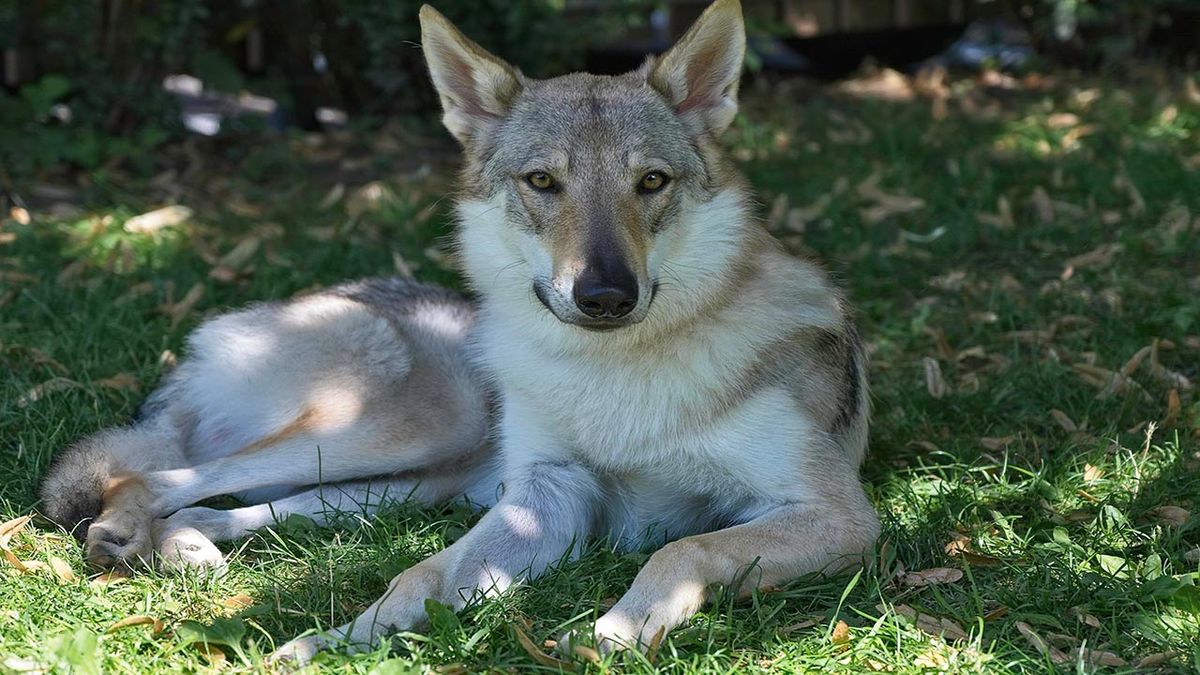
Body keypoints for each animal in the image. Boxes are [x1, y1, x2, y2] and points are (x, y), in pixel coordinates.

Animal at [40, 0, 879, 662]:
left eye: (651, 182)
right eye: (542, 182)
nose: (606, 295)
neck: (611, 375)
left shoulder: (839, 515)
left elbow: (682, 548)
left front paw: (612, 633)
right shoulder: (548, 496)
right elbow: (420, 573)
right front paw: (330, 643)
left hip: (409, 480)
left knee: (212, 504)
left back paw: (179, 548)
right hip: (418, 431)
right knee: (153, 476)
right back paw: (131, 536)